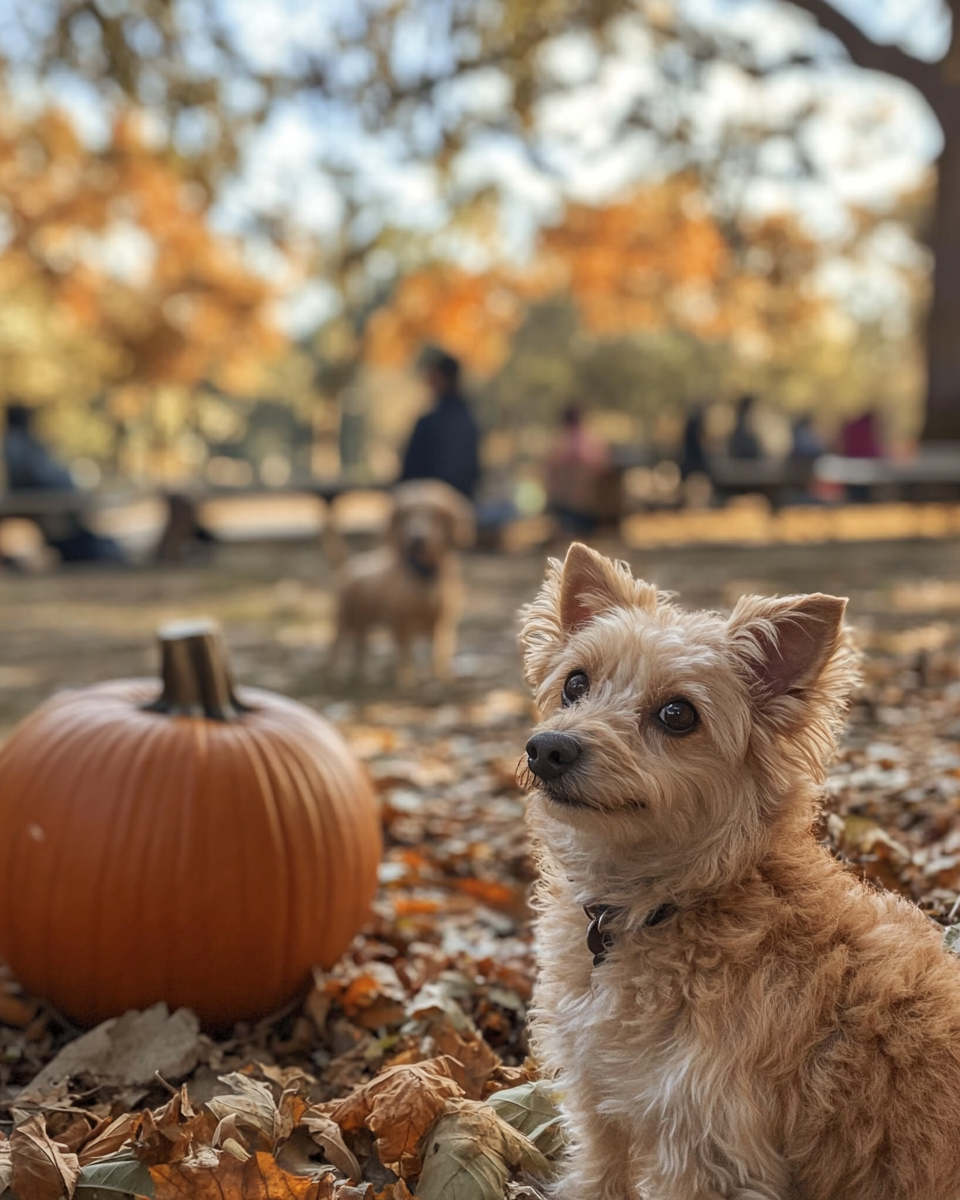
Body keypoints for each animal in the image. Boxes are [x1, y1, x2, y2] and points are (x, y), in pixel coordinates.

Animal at [331, 477, 475, 686]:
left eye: (434, 514)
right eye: (406, 515)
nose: (417, 539)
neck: (424, 577)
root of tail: (350, 564)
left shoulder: (443, 625)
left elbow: (439, 656)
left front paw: (442, 678)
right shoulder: (400, 623)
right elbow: (405, 657)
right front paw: (405, 681)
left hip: (361, 625)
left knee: (360, 650)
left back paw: (362, 675)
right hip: (344, 620)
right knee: (335, 648)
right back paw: (335, 675)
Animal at [520, 547, 960, 1200]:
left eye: (678, 714)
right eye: (576, 683)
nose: (548, 748)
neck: (664, 904)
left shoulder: (707, 1149)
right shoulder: (602, 1112)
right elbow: (598, 1177)